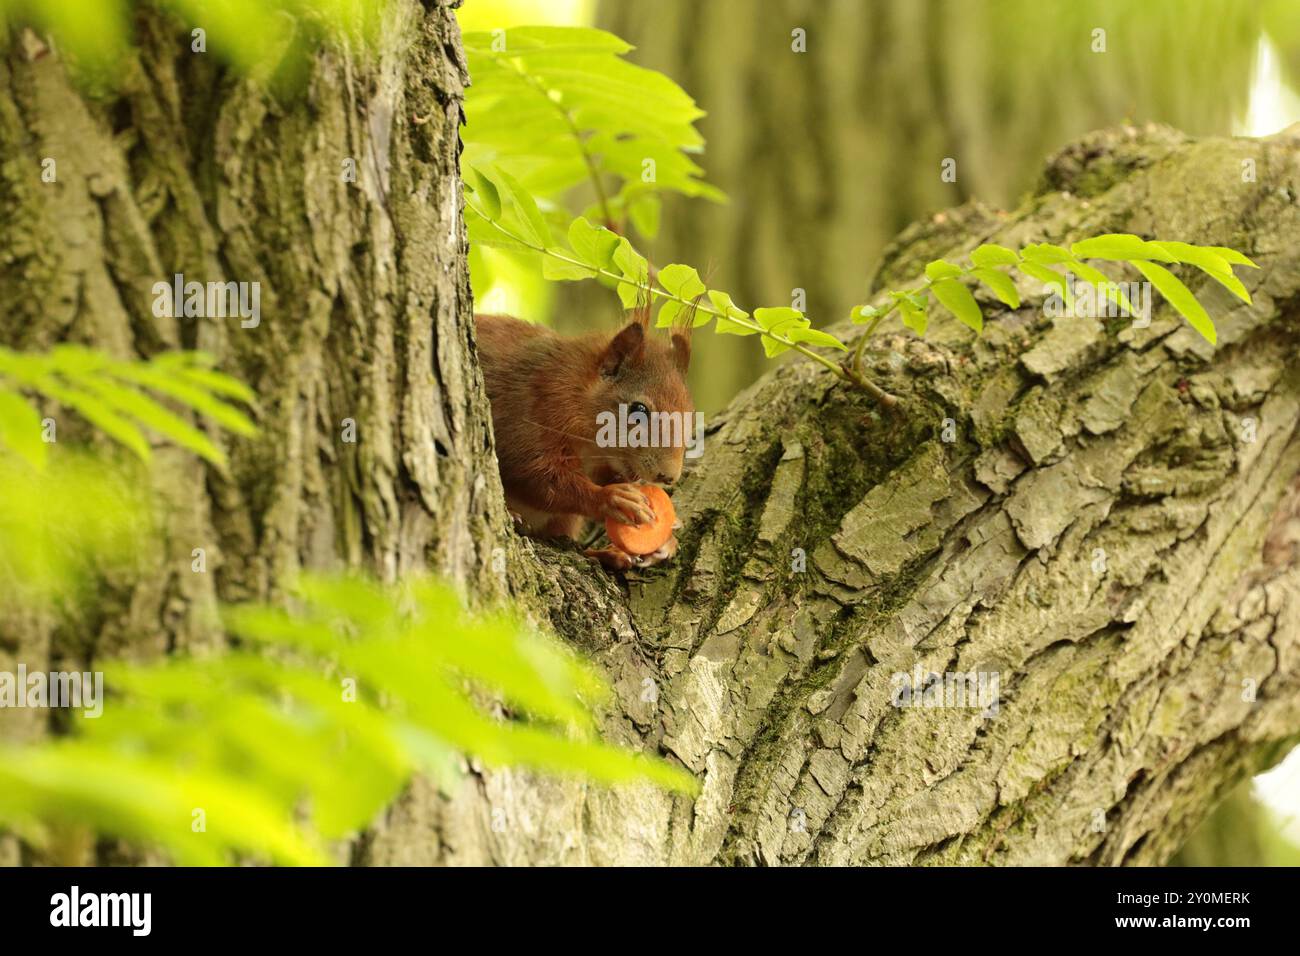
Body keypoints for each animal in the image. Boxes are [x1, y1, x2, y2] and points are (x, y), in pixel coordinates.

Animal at [474, 303, 693, 571]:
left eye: (690, 414)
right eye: (639, 409)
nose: (668, 476)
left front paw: (666, 539)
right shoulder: (528, 409)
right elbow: (536, 476)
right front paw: (610, 499)